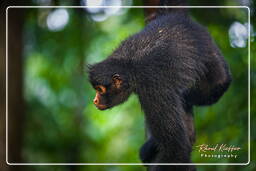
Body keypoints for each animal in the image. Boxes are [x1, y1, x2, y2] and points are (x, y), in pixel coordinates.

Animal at [88, 0, 232, 170]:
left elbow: (176, 149)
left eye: (100, 90)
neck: (129, 64)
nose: (95, 100)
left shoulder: (152, 87)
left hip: (215, 77)